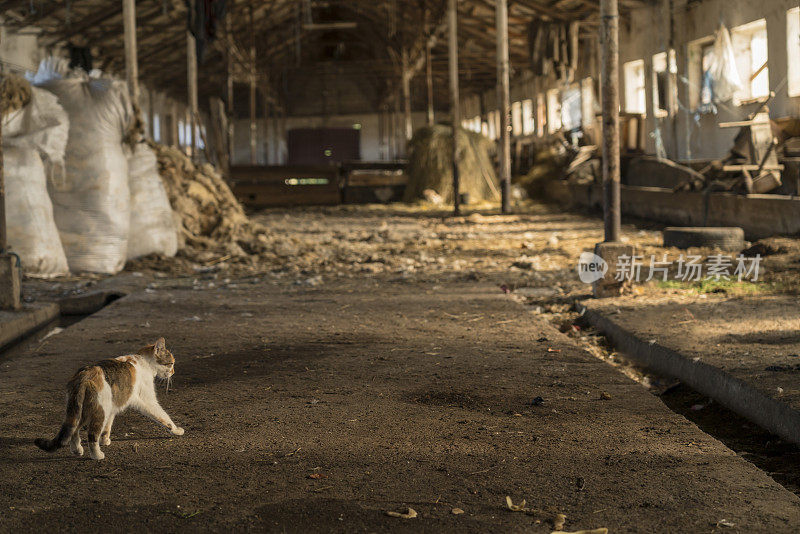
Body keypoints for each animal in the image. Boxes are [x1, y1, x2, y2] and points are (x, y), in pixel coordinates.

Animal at [34, 340, 184, 460]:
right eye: (171, 363)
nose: (173, 372)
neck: (144, 363)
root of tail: (85, 375)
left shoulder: (113, 405)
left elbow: (108, 425)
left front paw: (105, 439)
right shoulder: (147, 400)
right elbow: (162, 416)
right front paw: (176, 430)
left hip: (81, 409)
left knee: (74, 429)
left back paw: (77, 450)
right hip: (100, 410)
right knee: (91, 435)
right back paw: (97, 455)